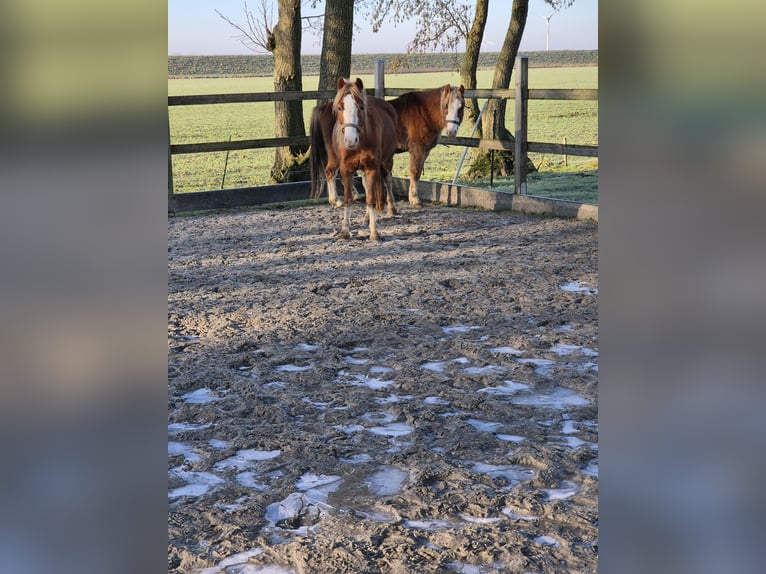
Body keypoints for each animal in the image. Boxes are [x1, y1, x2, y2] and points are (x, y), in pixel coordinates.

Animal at [310, 77, 400, 241]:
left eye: (361, 107)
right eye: (340, 108)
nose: (350, 140)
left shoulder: (372, 168)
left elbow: (370, 198)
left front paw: (374, 231)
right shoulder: (347, 168)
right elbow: (348, 198)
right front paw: (345, 230)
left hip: (386, 160)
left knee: (387, 179)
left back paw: (391, 207)